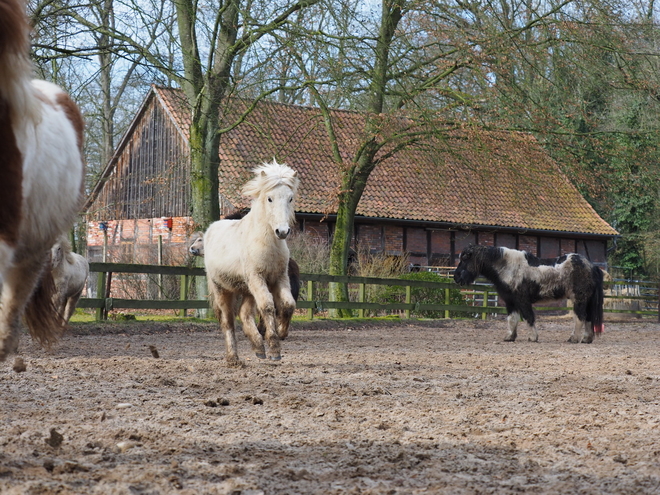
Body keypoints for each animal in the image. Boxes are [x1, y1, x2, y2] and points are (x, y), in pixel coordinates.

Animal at [205, 161, 300, 366]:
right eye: (270, 198)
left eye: (290, 198)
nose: (282, 231)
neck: (267, 243)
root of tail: (210, 230)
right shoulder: (258, 278)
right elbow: (268, 306)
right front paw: (274, 349)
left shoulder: (280, 278)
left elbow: (288, 304)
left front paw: (282, 332)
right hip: (223, 290)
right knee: (228, 322)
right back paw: (233, 358)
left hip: (247, 291)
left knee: (245, 314)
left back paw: (258, 348)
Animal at [454, 245, 604, 344]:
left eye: (465, 258)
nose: (456, 277)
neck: (508, 268)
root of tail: (592, 266)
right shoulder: (510, 301)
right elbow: (512, 319)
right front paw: (510, 337)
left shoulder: (522, 300)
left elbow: (528, 317)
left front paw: (533, 337)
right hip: (587, 300)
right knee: (588, 318)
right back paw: (586, 339)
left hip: (579, 299)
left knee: (580, 317)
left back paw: (573, 338)